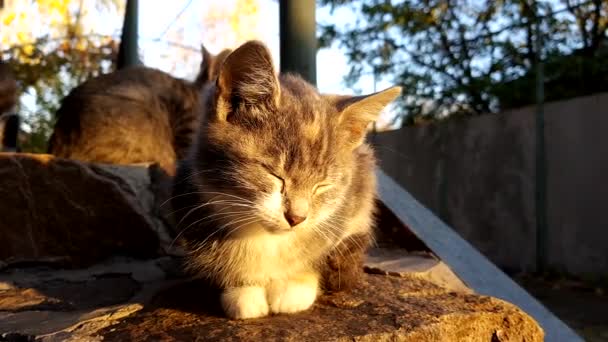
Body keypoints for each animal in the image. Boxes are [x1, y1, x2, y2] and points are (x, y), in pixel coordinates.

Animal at [171, 40, 402, 320]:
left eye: (322, 186)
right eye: (274, 174)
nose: (296, 218)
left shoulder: (353, 201)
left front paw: (295, 283)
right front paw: (242, 289)